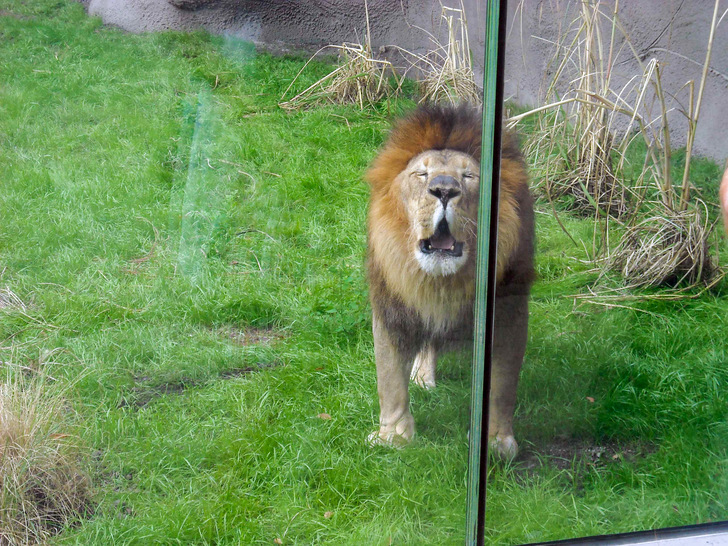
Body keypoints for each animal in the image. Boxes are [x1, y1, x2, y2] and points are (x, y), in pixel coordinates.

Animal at [365, 104, 534, 459]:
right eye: (421, 174)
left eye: (469, 176)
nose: (444, 189)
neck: (442, 283)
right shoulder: (391, 308)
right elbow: (389, 378)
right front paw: (393, 437)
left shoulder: (508, 312)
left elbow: (501, 385)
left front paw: (495, 443)